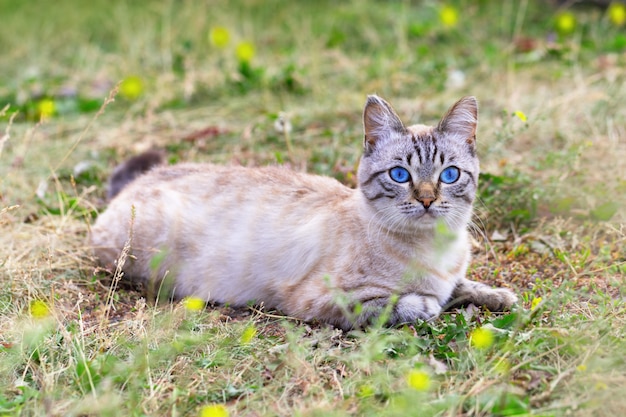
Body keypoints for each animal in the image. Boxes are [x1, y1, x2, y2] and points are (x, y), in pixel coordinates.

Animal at [89, 94, 516, 328]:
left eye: (449, 174)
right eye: (400, 175)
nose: (427, 200)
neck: (435, 249)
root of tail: (136, 183)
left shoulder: (450, 277)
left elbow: (464, 287)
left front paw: (499, 296)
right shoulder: (319, 300)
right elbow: (410, 304)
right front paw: (429, 304)